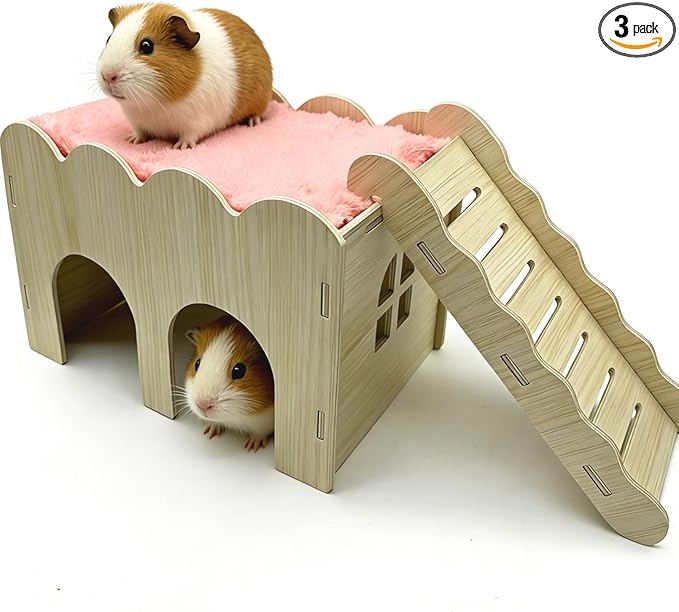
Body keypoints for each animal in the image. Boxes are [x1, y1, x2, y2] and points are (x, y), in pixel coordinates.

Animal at [97, 3, 273, 149]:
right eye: (109, 39)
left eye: (146, 46)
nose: (107, 76)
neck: (154, 105)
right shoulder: (137, 122)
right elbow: (140, 132)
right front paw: (132, 140)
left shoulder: (197, 122)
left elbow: (190, 135)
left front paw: (180, 147)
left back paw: (252, 123)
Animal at [184, 316, 274, 451]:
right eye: (197, 363)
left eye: (239, 370)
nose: (202, 405)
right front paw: (209, 432)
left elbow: (259, 434)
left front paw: (251, 447)